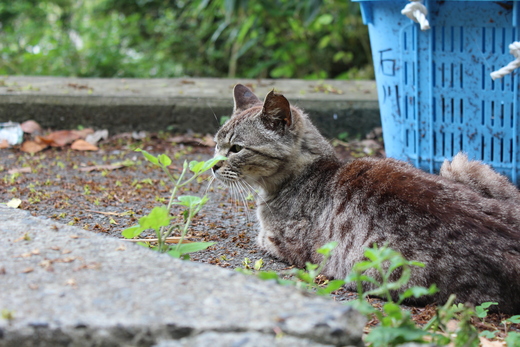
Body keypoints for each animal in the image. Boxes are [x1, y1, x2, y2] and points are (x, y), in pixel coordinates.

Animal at [211, 85, 520, 316]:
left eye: (236, 148)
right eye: (216, 144)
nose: (213, 165)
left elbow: (263, 238)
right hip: (461, 166)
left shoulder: (279, 242)